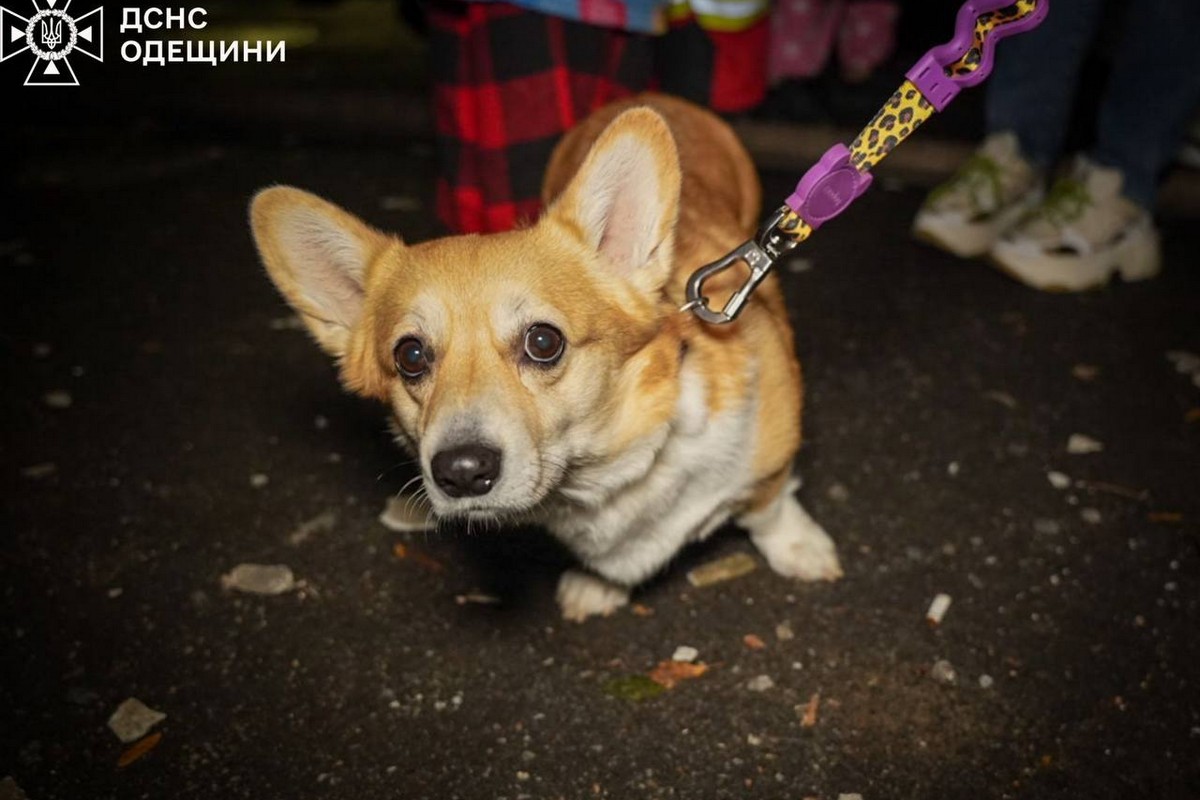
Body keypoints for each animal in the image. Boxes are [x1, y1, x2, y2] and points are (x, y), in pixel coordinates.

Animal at [248, 92, 840, 618]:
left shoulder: (769, 460)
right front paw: (601, 586)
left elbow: (769, 509)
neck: (612, 464)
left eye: (543, 341)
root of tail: (646, 94)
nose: (462, 472)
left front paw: (800, 549)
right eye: (410, 356)